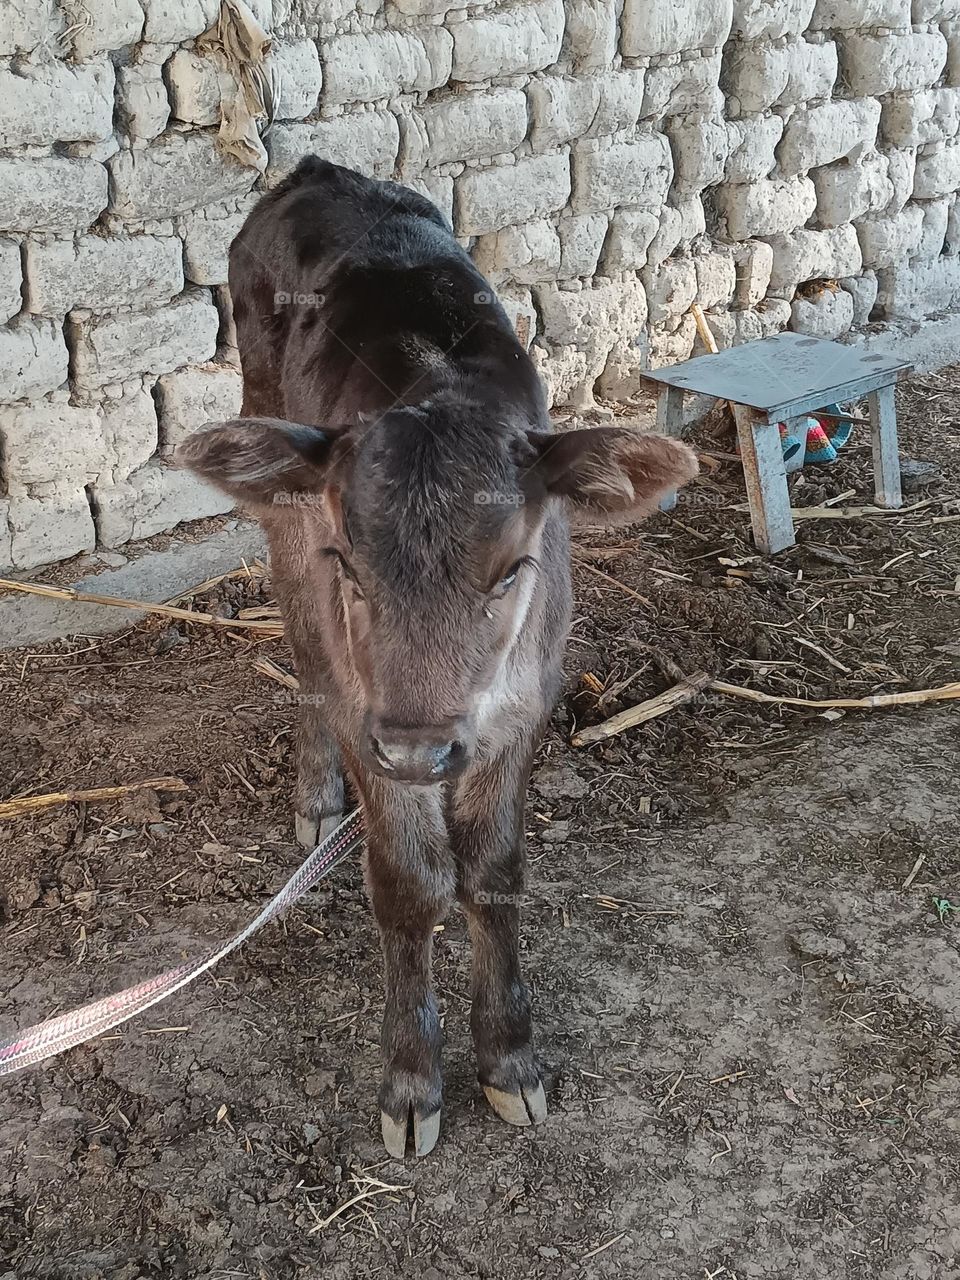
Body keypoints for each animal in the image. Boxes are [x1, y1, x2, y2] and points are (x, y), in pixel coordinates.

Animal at [177, 157, 698, 1158]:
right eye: (353, 562)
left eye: (514, 568)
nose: (420, 750)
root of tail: (314, 171)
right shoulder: (372, 716)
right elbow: (412, 883)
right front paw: (413, 1080)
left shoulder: (521, 708)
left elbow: (494, 874)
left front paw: (511, 1059)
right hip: (276, 470)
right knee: (304, 645)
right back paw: (316, 795)